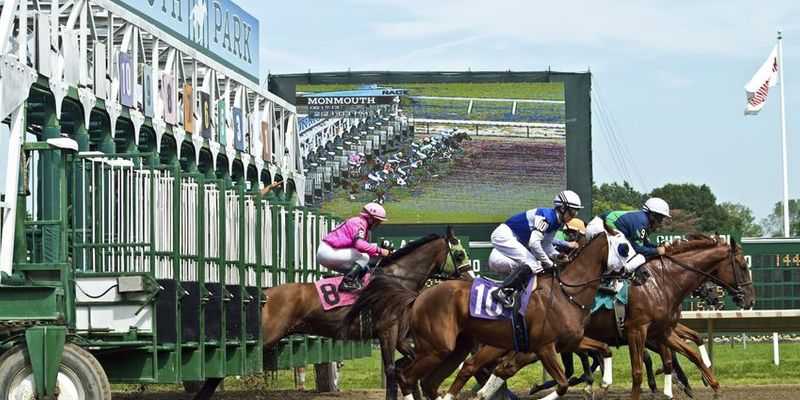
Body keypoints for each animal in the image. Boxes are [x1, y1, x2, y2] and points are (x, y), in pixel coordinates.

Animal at [191, 228, 472, 400]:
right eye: (459, 253)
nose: (470, 278)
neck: (397, 280)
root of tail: (266, 293)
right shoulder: (387, 331)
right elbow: (393, 370)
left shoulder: (402, 336)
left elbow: (408, 364)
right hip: (265, 335)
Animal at [350, 233, 612, 398]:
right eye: (622, 247)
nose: (633, 273)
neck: (565, 293)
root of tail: (417, 297)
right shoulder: (543, 346)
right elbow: (561, 382)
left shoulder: (566, 342)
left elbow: (602, 350)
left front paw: (602, 383)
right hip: (436, 347)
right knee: (405, 376)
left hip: (455, 348)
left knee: (431, 379)